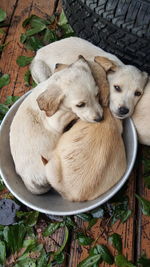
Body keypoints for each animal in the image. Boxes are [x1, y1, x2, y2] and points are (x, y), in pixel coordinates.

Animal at [9, 57, 103, 195]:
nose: (100, 118)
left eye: (97, 95)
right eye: (80, 105)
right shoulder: (55, 121)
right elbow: (72, 113)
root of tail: (29, 182)